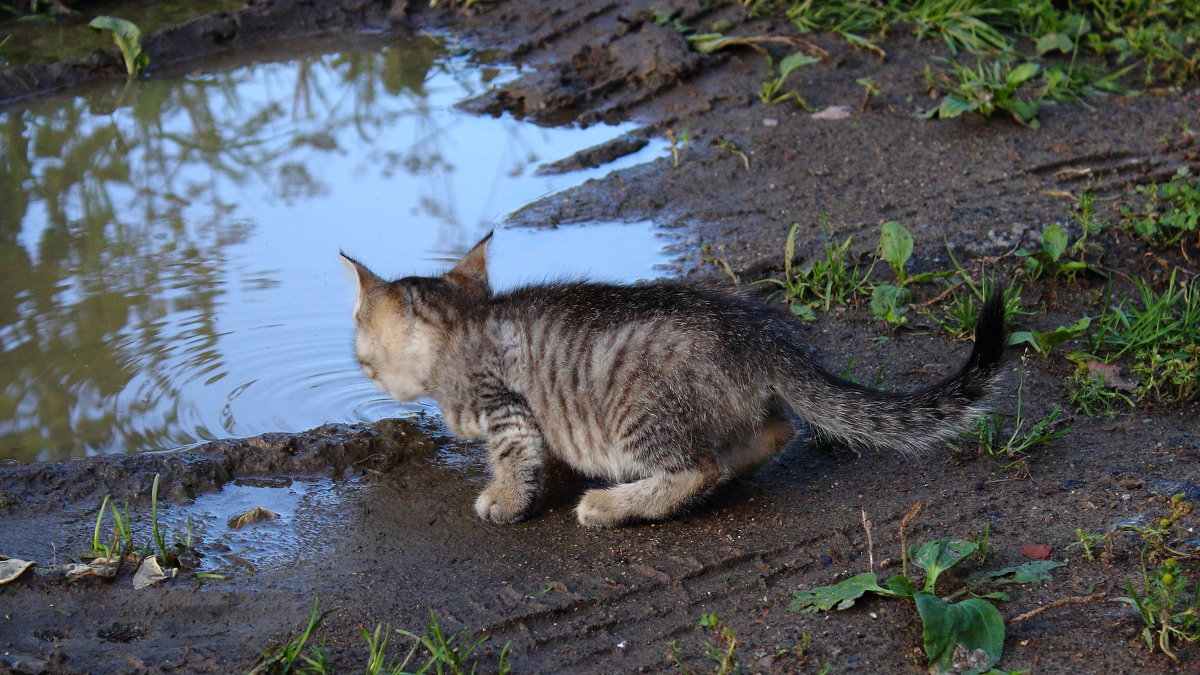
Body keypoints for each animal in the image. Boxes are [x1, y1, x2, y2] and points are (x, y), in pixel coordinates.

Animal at [343, 230, 1008, 526]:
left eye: (359, 336)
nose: (360, 365)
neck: (463, 327)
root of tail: (759, 336)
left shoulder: (503, 405)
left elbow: (513, 455)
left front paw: (504, 500)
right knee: (771, 434)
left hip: (639, 410)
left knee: (696, 469)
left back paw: (610, 504)